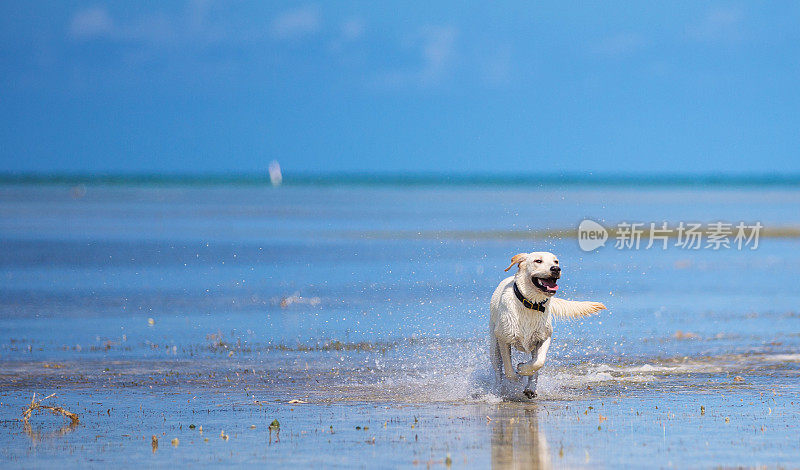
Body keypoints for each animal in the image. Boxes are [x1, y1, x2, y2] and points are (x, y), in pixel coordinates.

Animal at [488, 252, 608, 398]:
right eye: (538, 261)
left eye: (556, 261)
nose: (556, 269)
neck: (531, 304)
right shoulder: (504, 339)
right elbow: (509, 371)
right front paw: (517, 378)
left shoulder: (544, 337)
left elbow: (539, 362)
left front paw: (522, 369)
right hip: (494, 345)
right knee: (498, 370)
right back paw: (499, 389)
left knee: (534, 366)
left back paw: (530, 388)